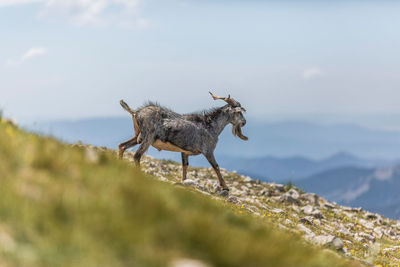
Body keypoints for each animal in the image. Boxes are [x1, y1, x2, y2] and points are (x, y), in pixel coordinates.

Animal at [118, 92, 247, 193]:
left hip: (137, 136)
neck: (210, 126)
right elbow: (216, 166)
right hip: (148, 137)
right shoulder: (208, 150)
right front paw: (225, 187)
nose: (244, 122)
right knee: (137, 155)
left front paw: (184, 183)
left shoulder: (184, 151)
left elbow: (185, 166)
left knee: (122, 146)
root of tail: (136, 112)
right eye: (238, 112)